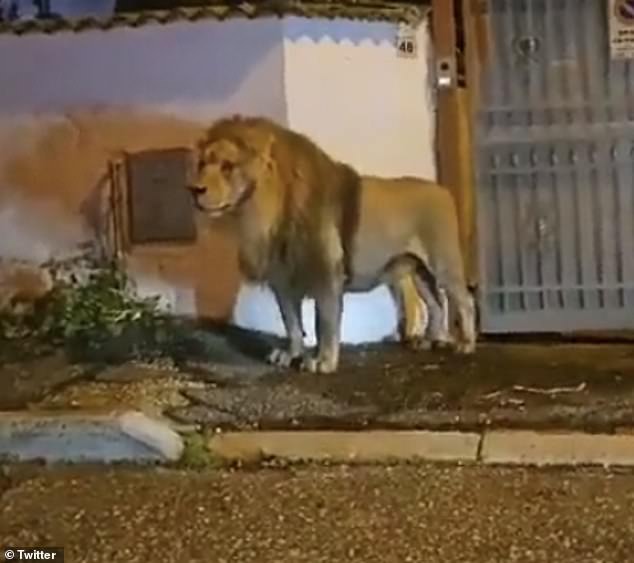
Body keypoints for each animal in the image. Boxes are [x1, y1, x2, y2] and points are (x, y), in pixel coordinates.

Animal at [188, 117, 474, 374]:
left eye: (227, 166)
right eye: (202, 164)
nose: (194, 189)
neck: (264, 210)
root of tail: (442, 190)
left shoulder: (326, 275)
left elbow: (323, 323)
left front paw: (323, 362)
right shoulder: (282, 282)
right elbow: (291, 323)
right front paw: (291, 355)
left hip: (443, 264)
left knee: (464, 300)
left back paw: (466, 345)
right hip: (418, 270)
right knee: (436, 303)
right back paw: (430, 341)